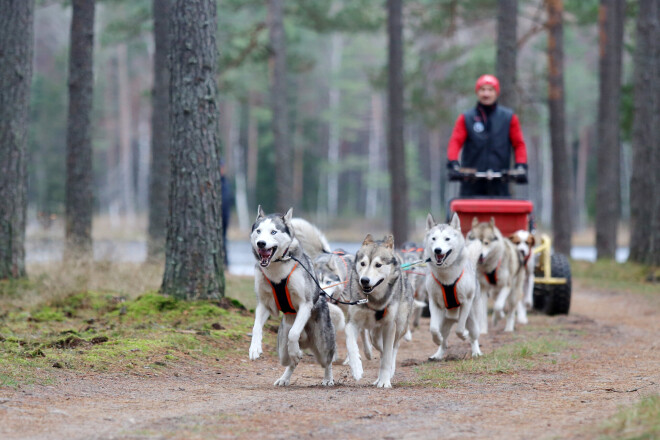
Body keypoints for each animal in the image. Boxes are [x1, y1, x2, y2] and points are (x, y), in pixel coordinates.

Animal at [250, 206, 338, 384]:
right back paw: (285, 377)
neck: (276, 271)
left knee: (327, 361)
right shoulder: (264, 304)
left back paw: (327, 378)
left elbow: (294, 333)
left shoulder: (305, 303)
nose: (261, 243)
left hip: (323, 345)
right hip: (281, 350)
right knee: (289, 362)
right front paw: (254, 347)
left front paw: (295, 349)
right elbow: (256, 327)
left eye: (273, 232)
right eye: (258, 231)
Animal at [346, 234, 412, 388]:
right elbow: (351, 345)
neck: (372, 300)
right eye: (363, 263)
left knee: (394, 347)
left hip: (400, 324)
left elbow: (388, 356)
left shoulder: (390, 325)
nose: (364, 280)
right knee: (380, 346)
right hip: (374, 334)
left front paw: (384, 381)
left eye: (378, 265)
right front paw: (356, 368)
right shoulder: (353, 322)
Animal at [422, 213, 484, 360]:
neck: (446, 276)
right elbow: (433, 329)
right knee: (444, 341)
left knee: (473, 336)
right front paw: (436, 339)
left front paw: (464, 335)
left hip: (472, 320)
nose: (437, 250)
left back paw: (476, 351)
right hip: (444, 321)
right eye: (433, 238)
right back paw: (437, 355)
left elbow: (460, 329)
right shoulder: (434, 302)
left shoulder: (466, 302)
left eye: (447, 239)